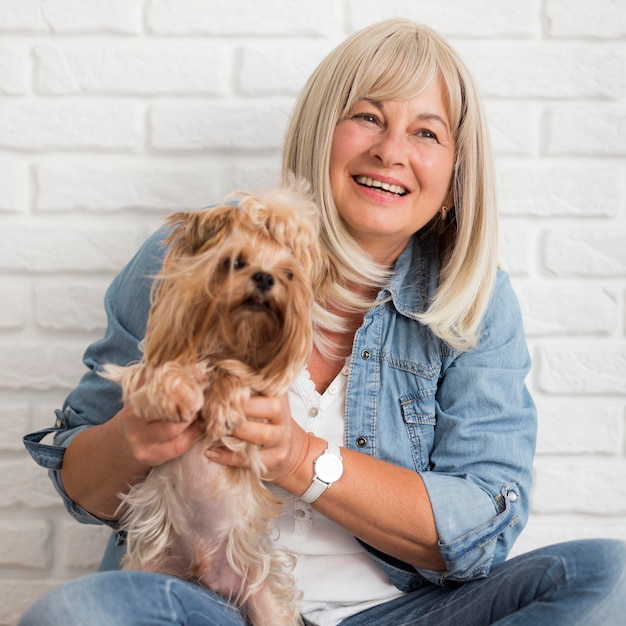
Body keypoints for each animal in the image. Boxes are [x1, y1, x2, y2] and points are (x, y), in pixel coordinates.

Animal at [105, 186, 326, 624]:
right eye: (236, 262)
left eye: (289, 274)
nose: (264, 277)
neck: (229, 338)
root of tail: (202, 567)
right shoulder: (147, 368)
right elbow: (165, 373)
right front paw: (180, 392)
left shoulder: (261, 398)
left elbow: (239, 376)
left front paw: (223, 401)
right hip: (151, 565)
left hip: (262, 592)